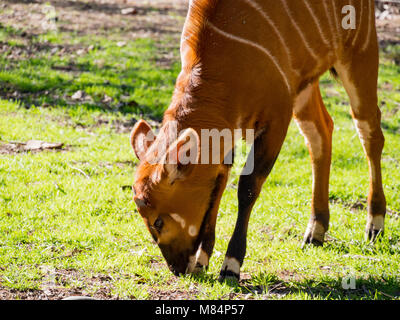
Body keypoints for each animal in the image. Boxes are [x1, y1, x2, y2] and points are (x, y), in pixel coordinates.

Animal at [130, 0, 386, 280]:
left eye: (158, 221)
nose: (176, 269)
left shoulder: (276, 117)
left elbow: (247, 186)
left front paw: (230, 265)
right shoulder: (226, 132)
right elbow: (218, 185)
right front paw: (202, 261)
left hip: (359, 55)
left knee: (369, 130)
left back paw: (375, 224)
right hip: (305, 86)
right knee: (321, 131)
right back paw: (315, 231)